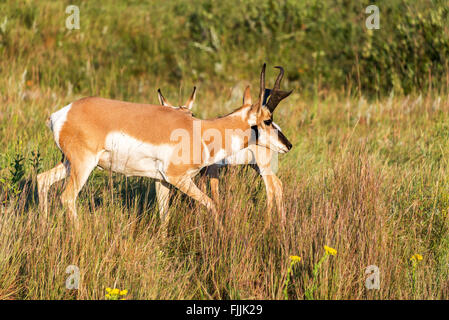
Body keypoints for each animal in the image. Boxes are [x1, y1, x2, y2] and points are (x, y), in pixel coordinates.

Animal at [158, 67, 294, 222]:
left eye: (191, 114)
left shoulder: (212, 170)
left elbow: (214, 195)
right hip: (255, 166)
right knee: (278, 184)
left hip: (263, 166)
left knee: (271, 188)